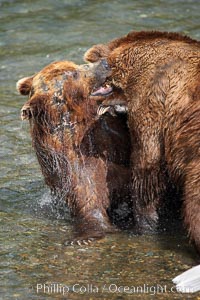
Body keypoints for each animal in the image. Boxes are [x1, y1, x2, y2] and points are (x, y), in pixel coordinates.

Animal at [17, 60, 131, 244]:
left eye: (76, 66)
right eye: (75, 74)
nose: (105, 63)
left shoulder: (110, 139)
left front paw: (119, 106)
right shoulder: (74, 166)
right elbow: (89, 202)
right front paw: (82, 237)